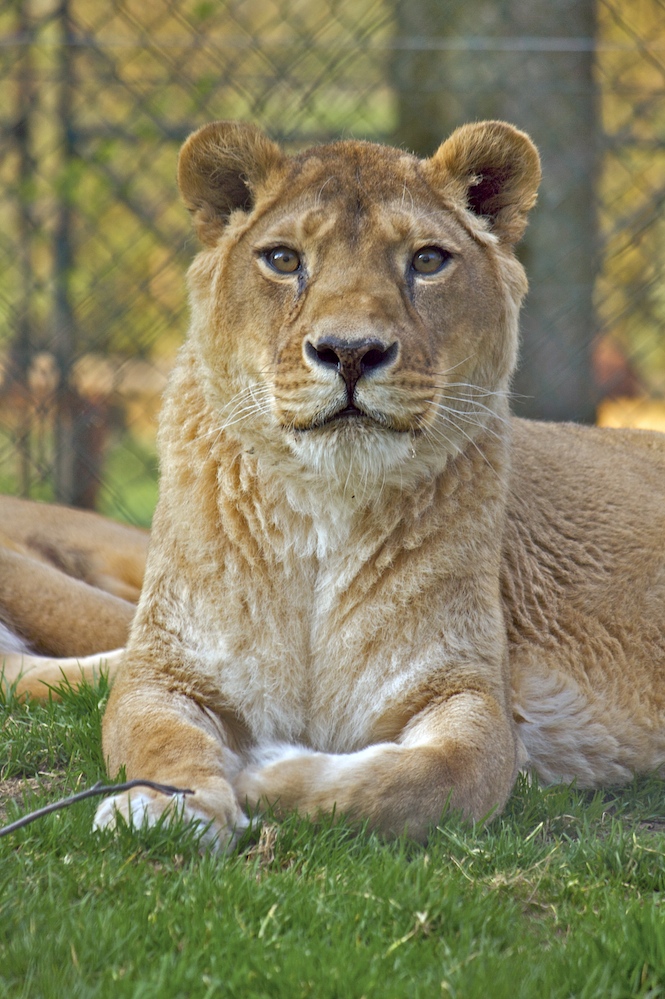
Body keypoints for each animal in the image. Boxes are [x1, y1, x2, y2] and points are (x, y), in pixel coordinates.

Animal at [6, 121, 664, 848]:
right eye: (283, 259)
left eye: (426, 261)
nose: (351, 352)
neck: (325, 509)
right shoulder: (163, 670)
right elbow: (155, 738)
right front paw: (167, 806)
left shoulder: (469, 695)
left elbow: (421, 780)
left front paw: (267, 772)